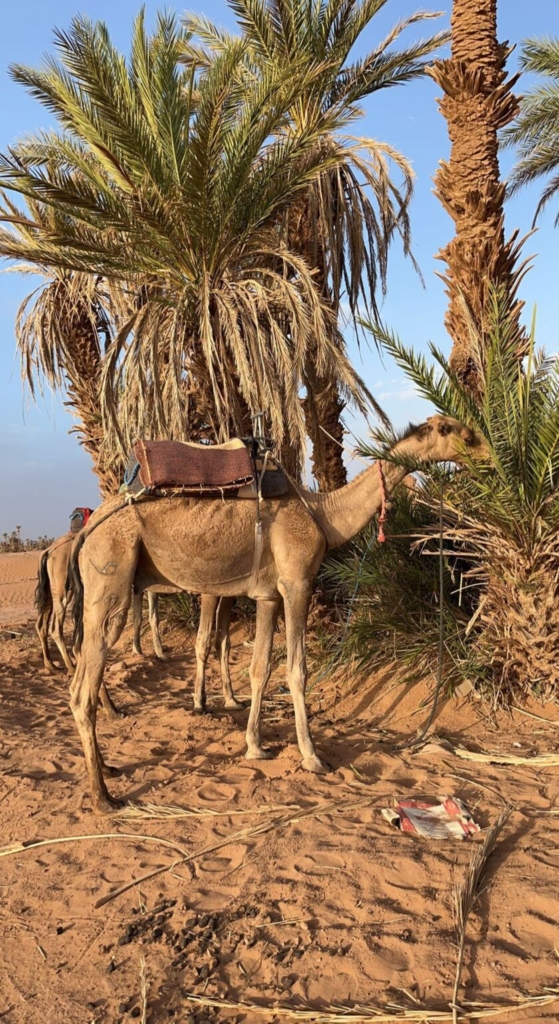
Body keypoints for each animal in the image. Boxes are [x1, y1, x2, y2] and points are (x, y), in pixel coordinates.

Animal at [69, 415, 484, 812]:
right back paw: (103, 797)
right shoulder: (297, 584)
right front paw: (312, 757)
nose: (486, 454)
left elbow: (260, 669)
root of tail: (86, 532)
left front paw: (255, 746)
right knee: (82, 692)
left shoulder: (267, 595)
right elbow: (297, 671)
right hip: (112, 572)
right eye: (461, 433)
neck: (322, 514)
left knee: (78, 680)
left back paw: (107, 768)